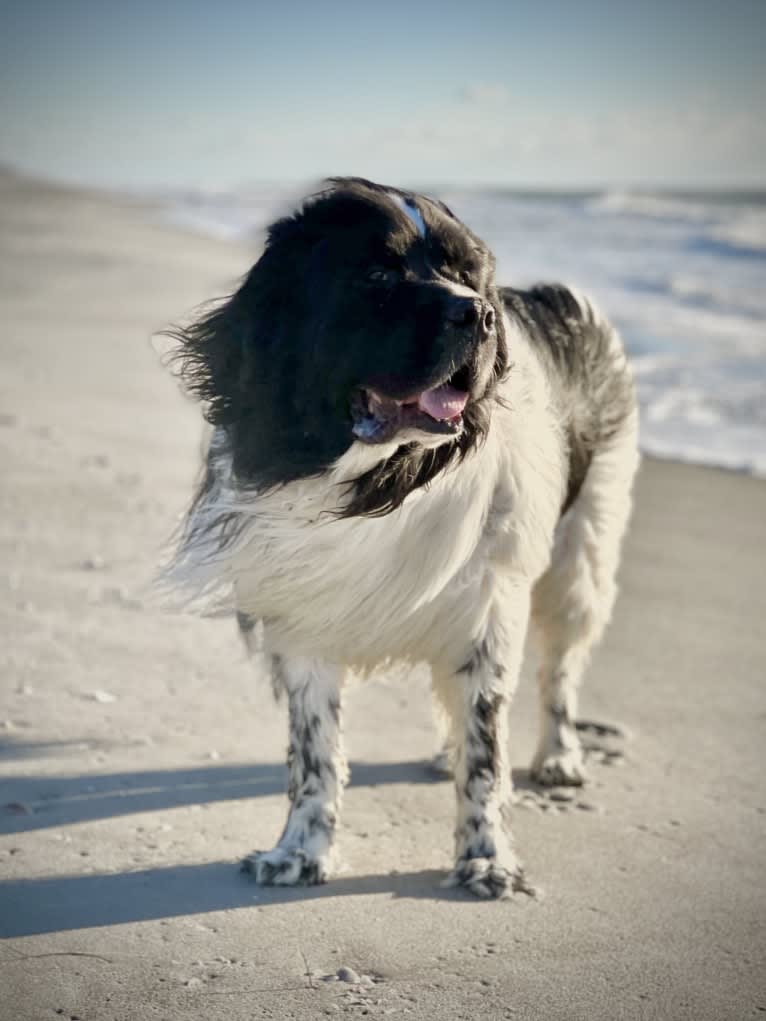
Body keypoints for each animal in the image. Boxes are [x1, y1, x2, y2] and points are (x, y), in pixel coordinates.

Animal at [167, 179, 641, 898]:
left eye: (467, 275)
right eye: (378, 275)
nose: (480, 314)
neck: (380, 473)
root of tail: (555, 297)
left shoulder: (487, 607)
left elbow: (486, 751)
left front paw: (488, 858)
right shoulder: (302, 621)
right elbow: (315, 753)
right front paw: (299, 851)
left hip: (583, 550)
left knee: (560, 667)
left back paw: (559, 756)